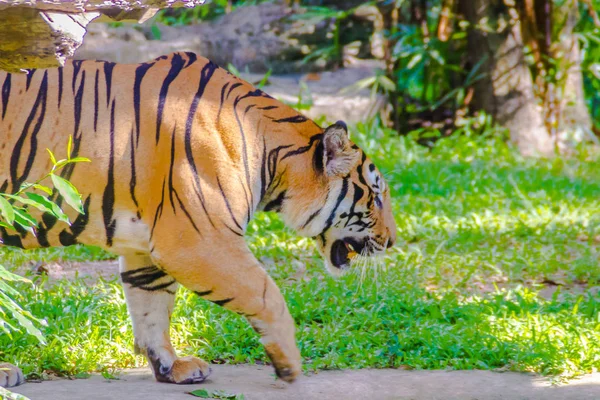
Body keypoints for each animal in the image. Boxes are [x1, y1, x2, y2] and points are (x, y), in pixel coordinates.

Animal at [0, 51, 396, 390]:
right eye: (375, 196)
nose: (392, 241)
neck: (272, 158)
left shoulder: (145, 244)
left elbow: (152, 306)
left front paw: (171, 367)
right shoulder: (199, 241)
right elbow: (267, 294)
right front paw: (290, 365)